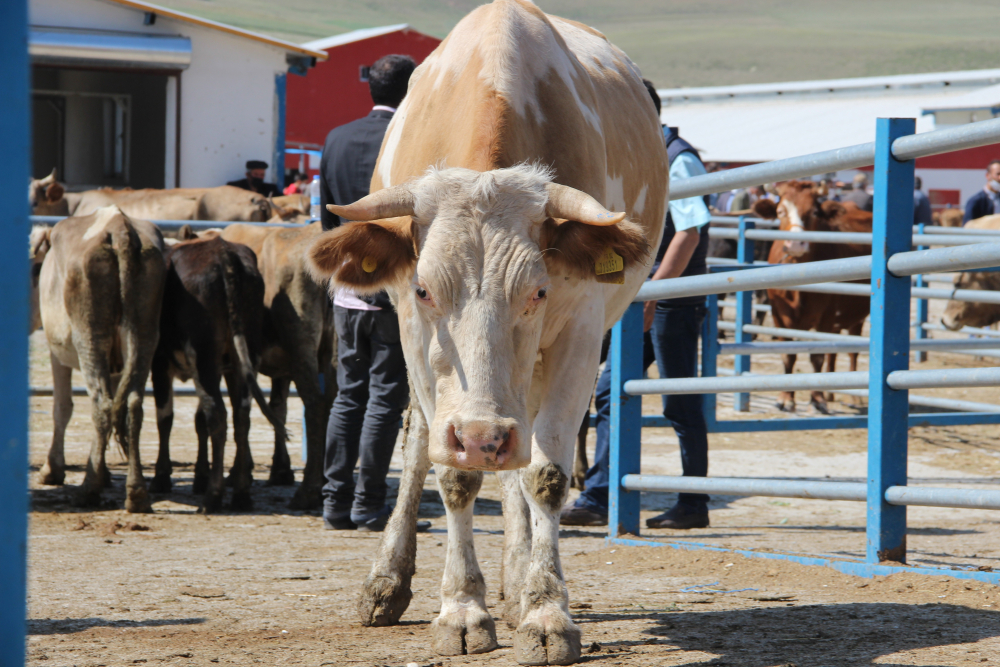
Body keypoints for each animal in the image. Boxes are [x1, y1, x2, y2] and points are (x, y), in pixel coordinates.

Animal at [36, 206, 166, 516]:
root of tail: (119, 226)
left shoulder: (56, 352)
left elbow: (62, 407)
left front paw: (53, 469)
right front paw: (103, 470)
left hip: (89, 335)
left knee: (101, 404)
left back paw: (88, 490)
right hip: (144, 334)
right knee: (132, 404)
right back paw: (137, 494)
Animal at [150, 235, 288, 512]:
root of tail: (224, 253)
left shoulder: (159, 364)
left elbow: (165, 419)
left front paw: (162, 476)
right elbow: (198, 421)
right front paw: (200, 476)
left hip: (204, 359)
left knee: (217, 414)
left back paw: (213, 497)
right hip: (241, 359)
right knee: (241, 417)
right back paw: (241, 495)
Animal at [304, 2, 664, 664]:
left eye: (538, 291)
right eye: (425, 289)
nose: (480, 435)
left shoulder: (578, 333)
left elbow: (544, 474)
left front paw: (545, 610)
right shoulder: (414, 333)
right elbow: (452, 473)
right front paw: (462, 609)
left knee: (522, 454)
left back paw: (518, 578)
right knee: (421, 442)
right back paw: (387, 581)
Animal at [752, 181, 872, 412]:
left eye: (814, 212)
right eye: (780, 211)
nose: (796, 244)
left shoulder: (826, 316)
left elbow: (817, 357)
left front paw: (817, 400)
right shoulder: (779, 315)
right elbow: (788, 355)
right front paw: (785, 398)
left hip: (857, 315)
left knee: (851, 352)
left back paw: (853, 398)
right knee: (833, 352)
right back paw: (831, 391)